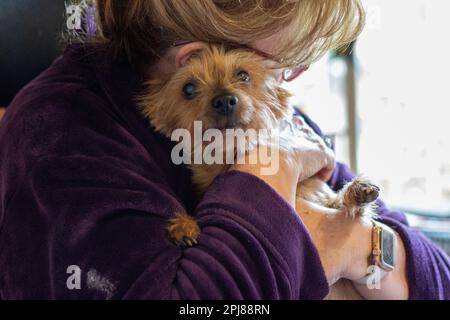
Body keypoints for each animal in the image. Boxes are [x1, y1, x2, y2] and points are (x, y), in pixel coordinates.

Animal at [139, 45, 378, 250]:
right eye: (188, 88)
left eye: (243, 75)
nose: (224, 101)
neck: (230, 155)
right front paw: (184, 225)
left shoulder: (323, 196)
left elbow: (341, 204)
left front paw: (358, 192)